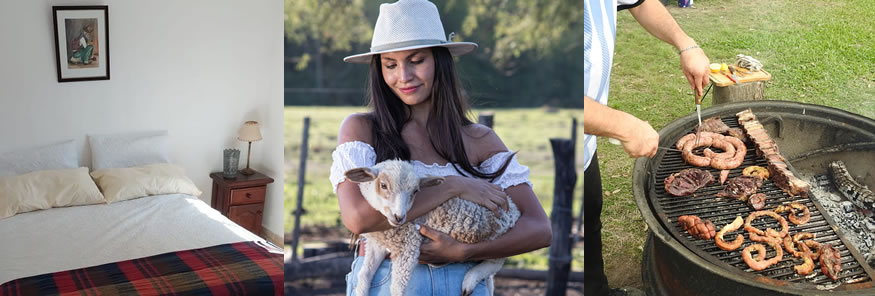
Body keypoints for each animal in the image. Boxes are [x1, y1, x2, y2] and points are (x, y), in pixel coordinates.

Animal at [344, 160, 520, 296]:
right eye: (383, 185)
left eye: (415, 191)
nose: (399, 217)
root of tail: (514, 208)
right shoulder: (377, 244)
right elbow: (364, 275)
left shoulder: (409, 244)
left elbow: (396, 288)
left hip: (495, 232)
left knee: (496, 260)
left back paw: (469, 280)